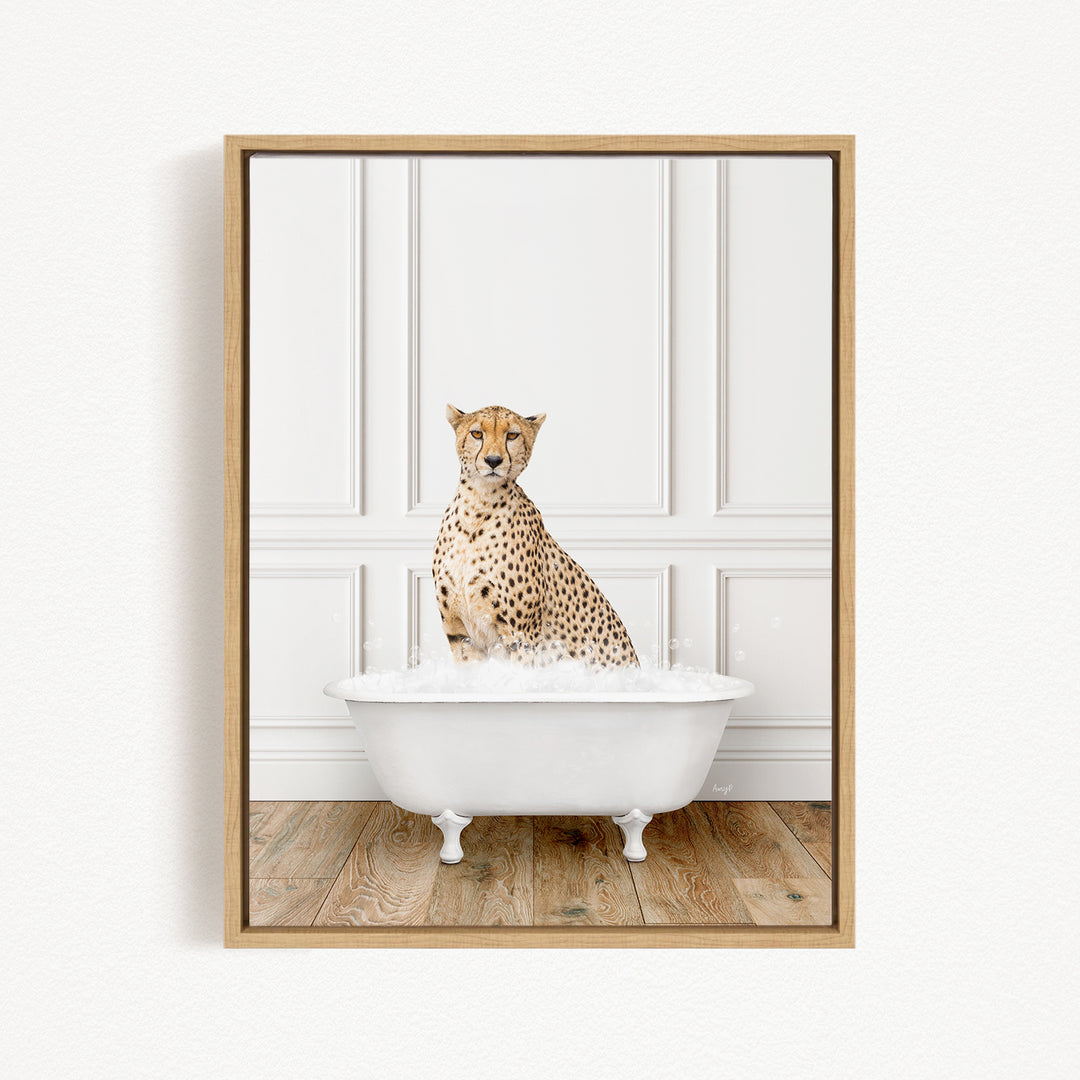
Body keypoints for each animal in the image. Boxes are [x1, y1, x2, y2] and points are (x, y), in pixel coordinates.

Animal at [432, 404, 639, 669]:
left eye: (512, 435)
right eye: (477, 433)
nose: (493, 460)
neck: (478, 503)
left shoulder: (521, 637)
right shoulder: (460, 635)